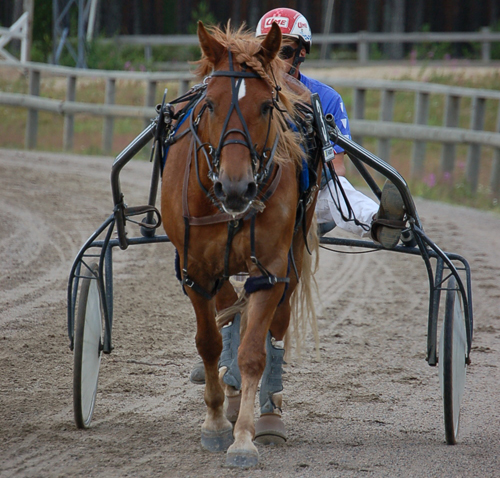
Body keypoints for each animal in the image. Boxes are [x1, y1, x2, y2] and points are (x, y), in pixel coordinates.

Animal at [160, 21, 321, 468]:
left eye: (266, 107)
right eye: (210, 104)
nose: (236, 188)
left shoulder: (269, 269)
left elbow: (254, 352)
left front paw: (245, 438)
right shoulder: (196, 270)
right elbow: (209, 342)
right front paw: (217, 421)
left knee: (276, 322)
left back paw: (268, 411)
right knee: (229, 308)